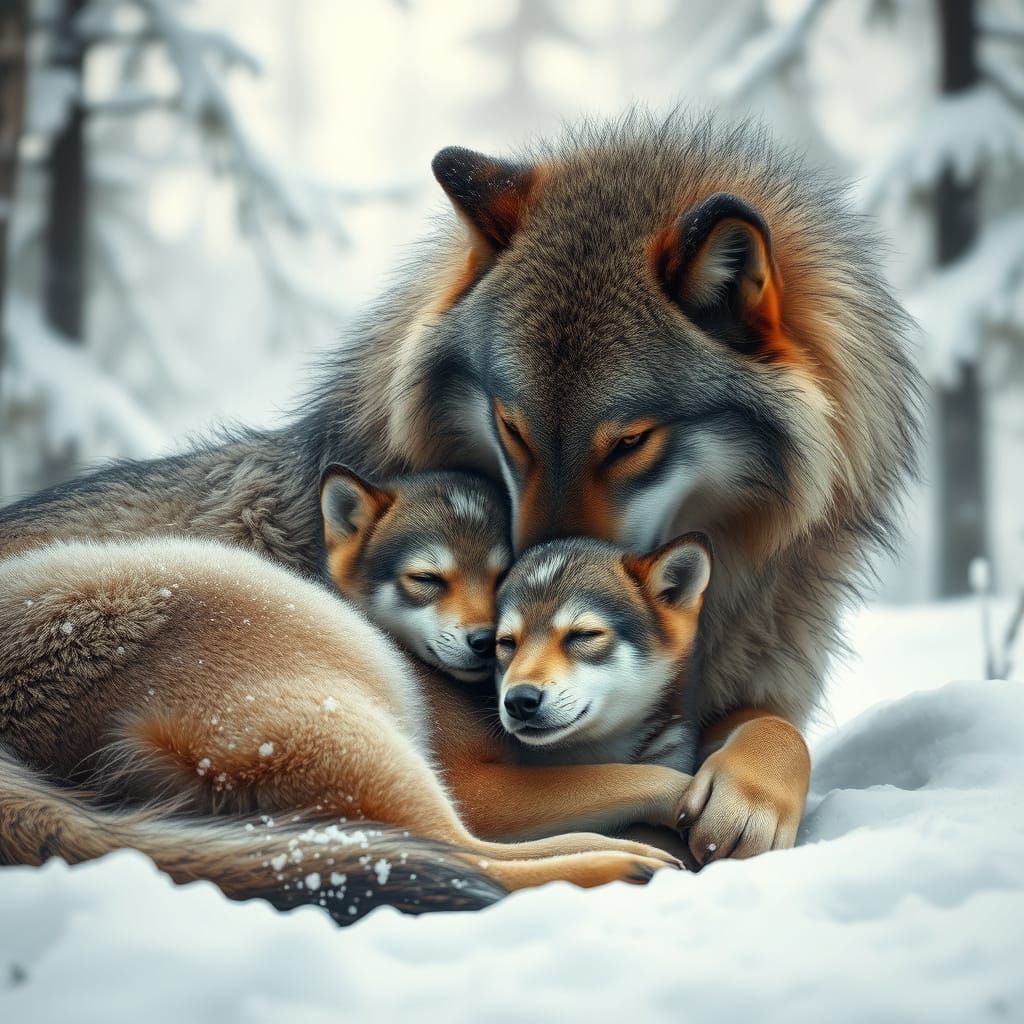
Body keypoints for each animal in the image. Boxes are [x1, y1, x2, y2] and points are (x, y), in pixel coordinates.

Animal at [0, 111, 920, 866]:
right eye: (511, 427)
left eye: (629, 442)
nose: (508, 640)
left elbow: (776, 730)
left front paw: (747, 793)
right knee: (444, 848)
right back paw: (626, 860)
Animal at [0, 470, 690, 921]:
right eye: (425, 579)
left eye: (503, 583)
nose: (485, 647)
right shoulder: (478, 785)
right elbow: (640, 780)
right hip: (351, 708)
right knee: (467, 857)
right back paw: (625, 865)